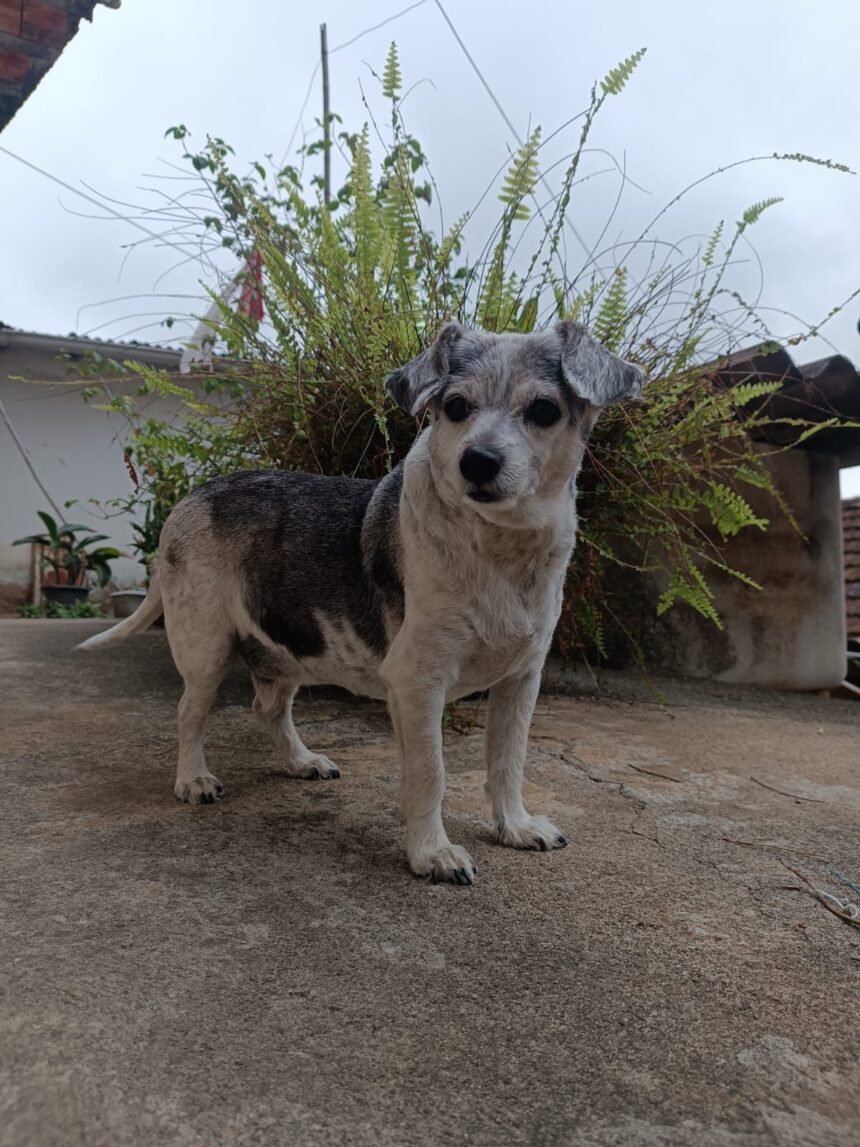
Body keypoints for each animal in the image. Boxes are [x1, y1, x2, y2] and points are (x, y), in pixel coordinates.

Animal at [82, 323, 646, 885]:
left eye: (545, 411)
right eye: (455, 407)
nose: (477, 460)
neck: (499, 547)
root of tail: (190, 498)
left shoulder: (521, 679)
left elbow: (508, 761)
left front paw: (516, 828)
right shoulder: (418, 683)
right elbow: (431, 772)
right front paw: (432, 853)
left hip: (286, 649)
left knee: (268, 707)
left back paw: (300, 761)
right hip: (206, 649)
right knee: (189, 713)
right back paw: (194, 779)